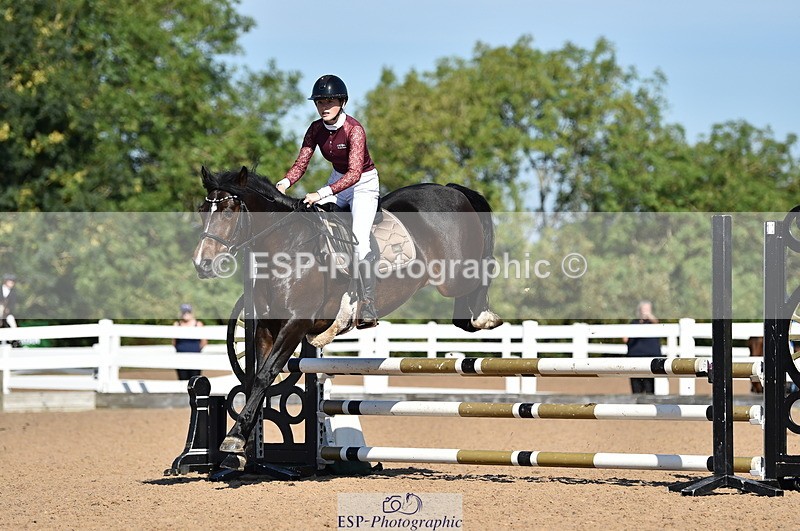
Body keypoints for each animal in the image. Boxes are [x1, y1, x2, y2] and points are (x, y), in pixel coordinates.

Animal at [193, 166, 502, 470]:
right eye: (202, 210)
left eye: (229, 211)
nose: (202, 264)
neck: (287, 247)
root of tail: (450, 189)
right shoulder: (266, 329)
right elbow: (256, 378)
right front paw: (241, 446)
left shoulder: (294, 325)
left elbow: (264, 376)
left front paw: (234, 439)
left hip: (454, 276)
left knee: (482, 271)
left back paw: (485, 318)